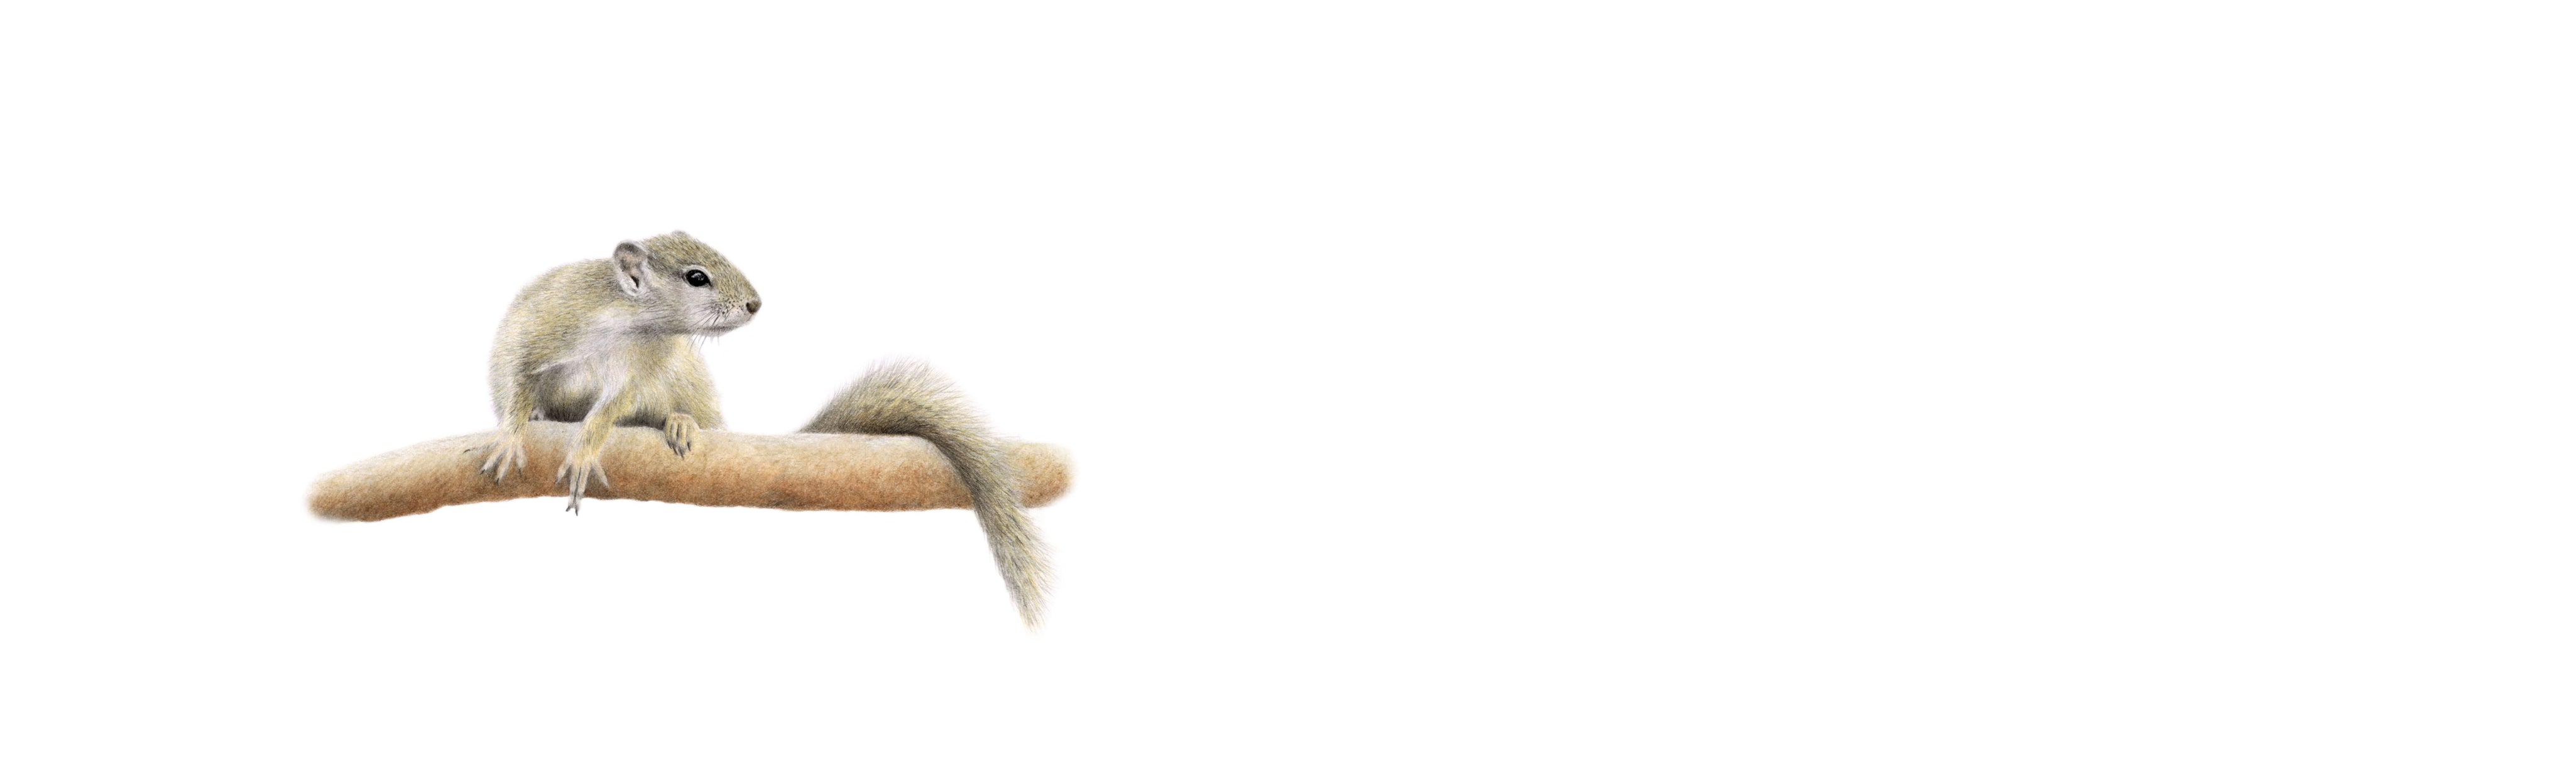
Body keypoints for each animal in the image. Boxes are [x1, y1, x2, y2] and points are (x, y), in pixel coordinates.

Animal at [476, 232, 1053, 627]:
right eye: (696, 277)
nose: (755, 304)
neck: (625, 322)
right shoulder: (537, 327)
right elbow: (515, 383)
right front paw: (513, 434)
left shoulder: (641, 370)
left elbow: (608, 411)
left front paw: (585, 449)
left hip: (688, 379)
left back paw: (681, 422)